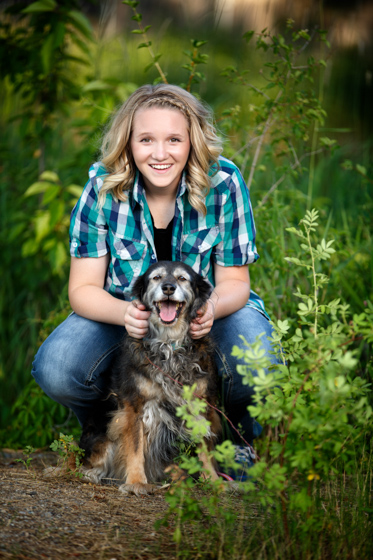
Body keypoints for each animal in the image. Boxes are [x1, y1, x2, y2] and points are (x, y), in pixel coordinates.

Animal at [77, 262, 219, 494]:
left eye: (182, 278)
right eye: (156, 277)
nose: (168, 287)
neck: (169, 344)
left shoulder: (199, 405)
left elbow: (205, 447)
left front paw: (215, 481)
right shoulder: (134, 406)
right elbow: (135, 447)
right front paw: (136, 482)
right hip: (103, 432)